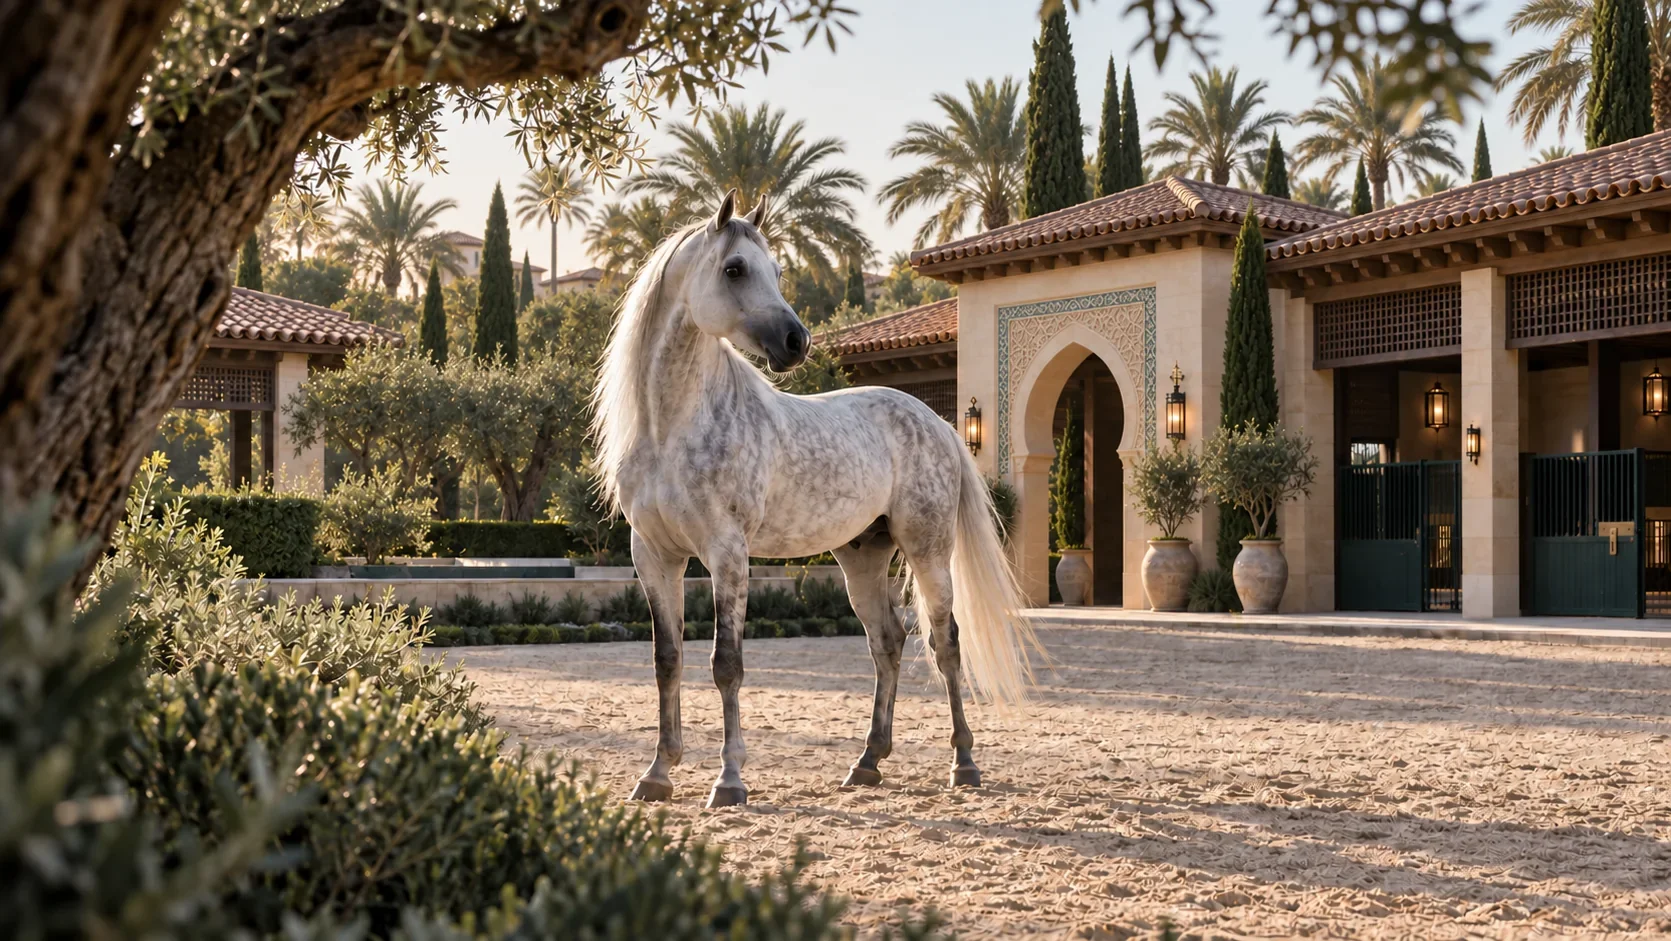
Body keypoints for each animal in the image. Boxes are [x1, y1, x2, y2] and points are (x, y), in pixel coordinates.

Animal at [591, 189, 1038, 808]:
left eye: (778, 271)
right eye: (735, 268)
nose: (796, 342)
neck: (673, 425)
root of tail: (940, 424)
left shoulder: (727, 554)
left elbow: (726, 664)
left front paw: (729, 780)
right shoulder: (654, 557)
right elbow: (667, 661)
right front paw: (658, 773)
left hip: (928, 552)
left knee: (944, 643)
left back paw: (963, 764)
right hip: (862, 558)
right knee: (887, 643)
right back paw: (868, 762)